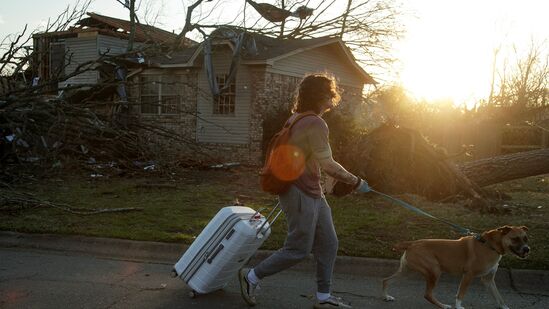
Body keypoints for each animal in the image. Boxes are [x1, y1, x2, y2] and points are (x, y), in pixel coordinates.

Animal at [382, 224, 528, 308]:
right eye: (515, 238)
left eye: (526, 238)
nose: (527, 249)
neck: (490, 245)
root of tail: (412, 243)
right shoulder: (468, 276)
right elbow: (460, 295)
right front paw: (458, 306)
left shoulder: (488, 280)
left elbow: (499, 297)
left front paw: (505, 307)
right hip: (434, 271)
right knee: (427, 294)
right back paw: (443, 306)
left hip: (408, 271)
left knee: (386, 280)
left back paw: (386, 296)